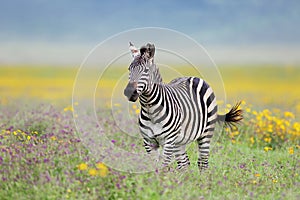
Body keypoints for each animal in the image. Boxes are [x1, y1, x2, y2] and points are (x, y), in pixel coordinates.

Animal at [123, 42, 243, 170]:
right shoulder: (148, 142)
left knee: (203, 162)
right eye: (129, 69)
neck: (150, 110)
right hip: (180, 141)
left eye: (146, 70)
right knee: (184, 163)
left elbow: (164, 167)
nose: (129, 92)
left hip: (206, 133)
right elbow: (154, 166)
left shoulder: (169, 141)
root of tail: (193, 77)